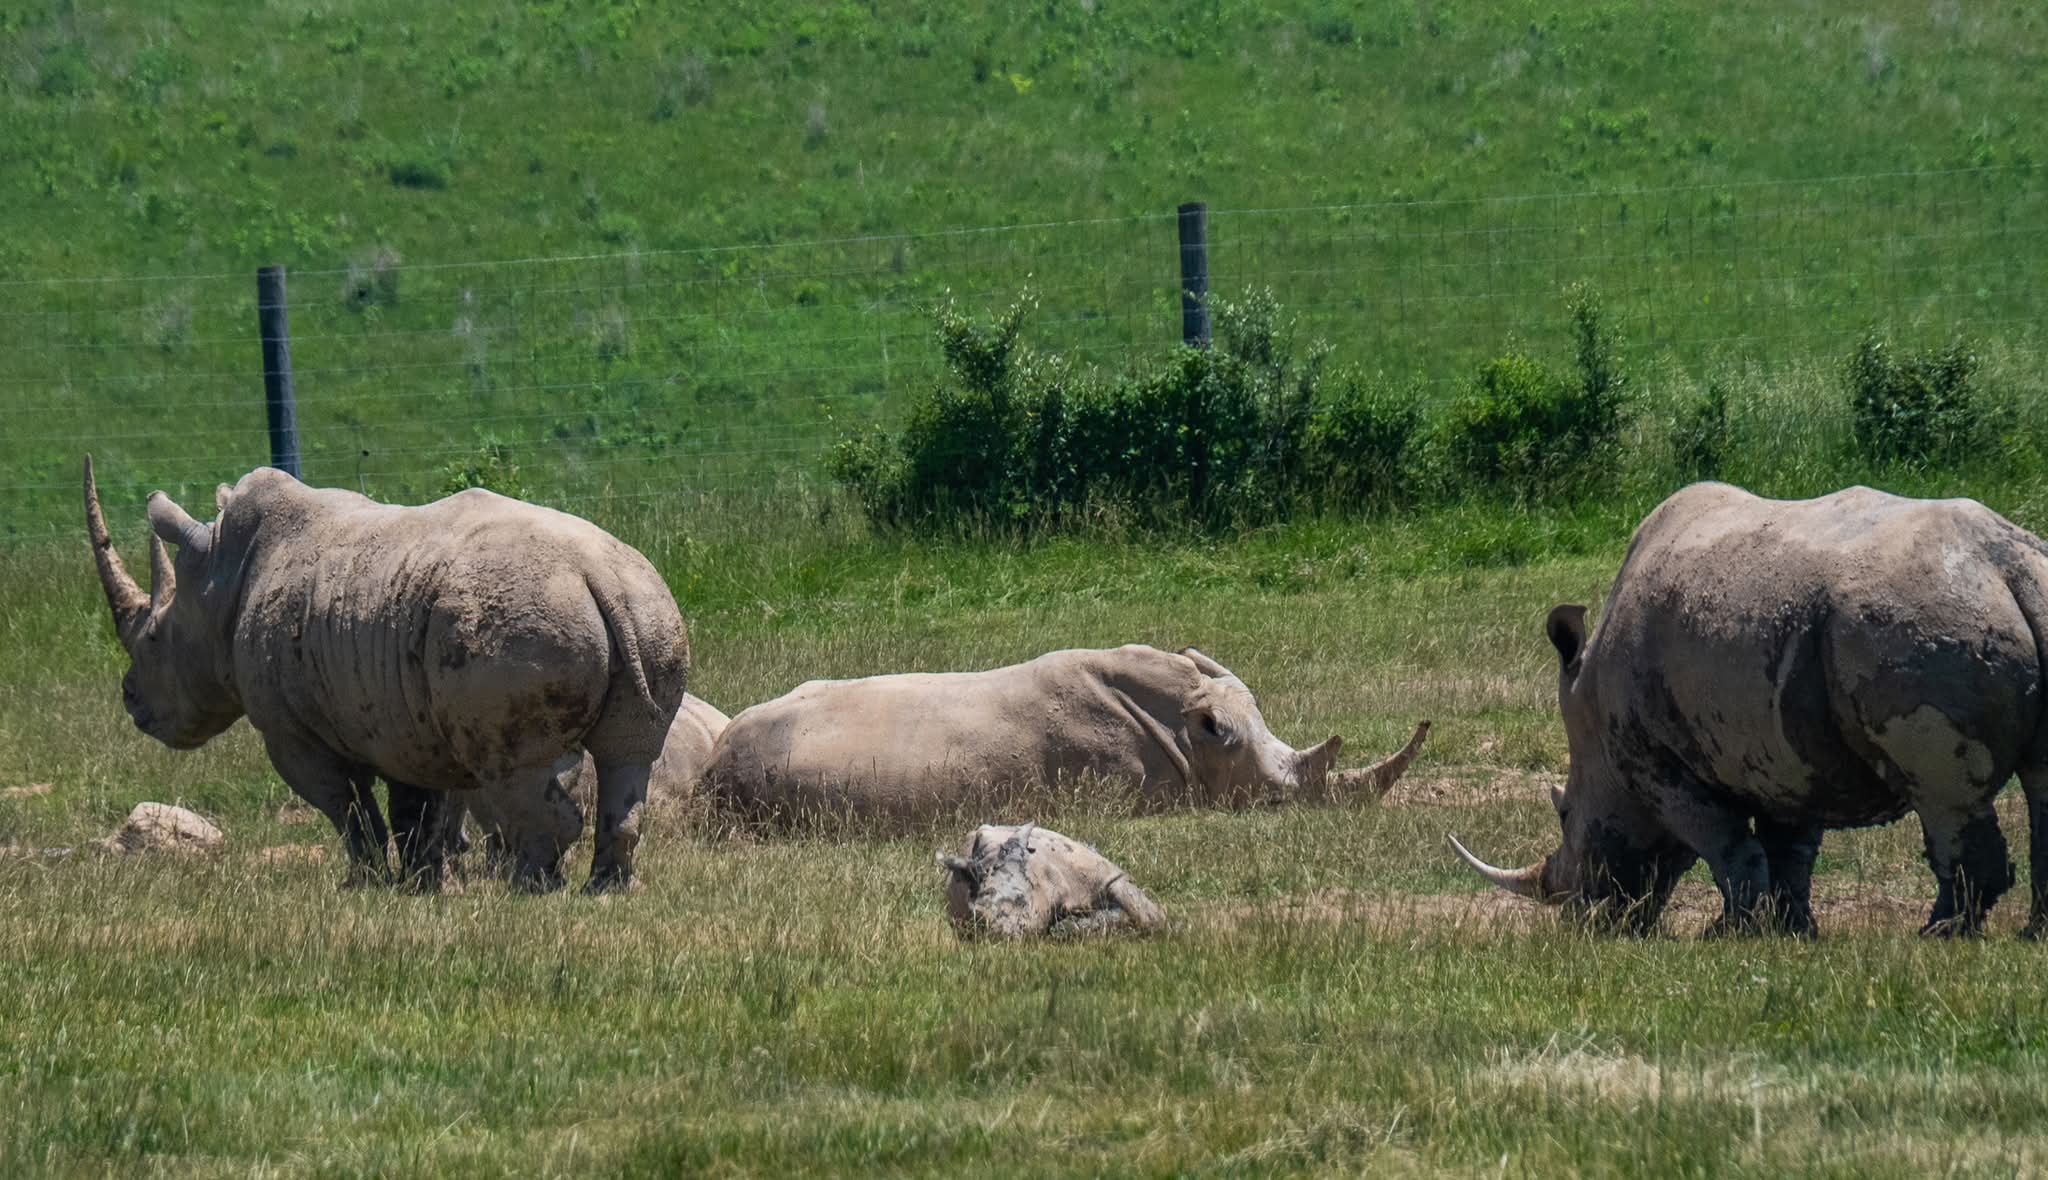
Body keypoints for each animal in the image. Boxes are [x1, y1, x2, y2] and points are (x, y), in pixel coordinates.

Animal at [83, 458, 688, 893]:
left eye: (153, 640)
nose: (131, 700)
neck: (218, 581)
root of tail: (599, 577)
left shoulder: (290, 731)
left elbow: (347, 807)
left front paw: (364, 884)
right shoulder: (404, 711)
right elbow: (415, 809)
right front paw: (423, 886)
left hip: (522, 625)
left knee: (515, 769)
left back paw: (532, 888)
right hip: (649, 609)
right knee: (628, 757)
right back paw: (606, 890)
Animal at [1451, 482, 2048, 937]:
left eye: (1567, 815)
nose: (1586, 922)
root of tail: (2007, 567)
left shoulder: (1658, 764)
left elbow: (1726, 845)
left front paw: (1727, 933)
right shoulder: (1789, 754)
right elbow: (1790, 850)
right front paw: (1791, 931)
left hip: (1912, 627)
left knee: (1943, 796)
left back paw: (1937, 936)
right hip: (1959, 609)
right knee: (2036, 785)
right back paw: (2030, 935)